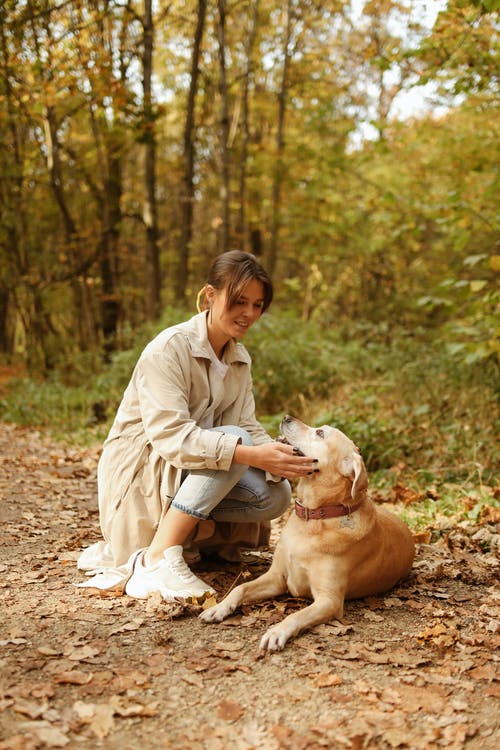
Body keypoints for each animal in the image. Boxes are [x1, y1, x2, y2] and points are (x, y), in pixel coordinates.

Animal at [199, 414, 414, 656]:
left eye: (320, 433)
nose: (286, 417)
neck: (314, 517)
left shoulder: (329, 600)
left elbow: (297, 615)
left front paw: (277, 632)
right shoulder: (277, 578)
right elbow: (240, 587)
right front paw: (219, 607)